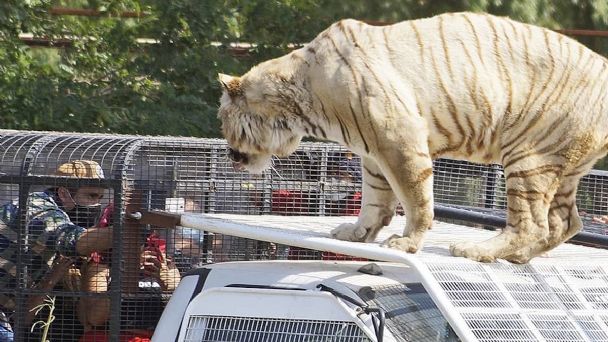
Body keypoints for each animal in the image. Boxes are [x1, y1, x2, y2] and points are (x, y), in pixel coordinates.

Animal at [215, 10, 608, 262]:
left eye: (222, 119)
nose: (230, 156)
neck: (301, 104)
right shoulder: (372, 153)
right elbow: (375, 200)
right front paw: (356, 234)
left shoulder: (400, 140)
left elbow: (416, 198)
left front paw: (406, 243)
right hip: (561, 165)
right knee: (565, 222)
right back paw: (518, 258)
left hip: (529, 155)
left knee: (532, 223)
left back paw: (478, 251)